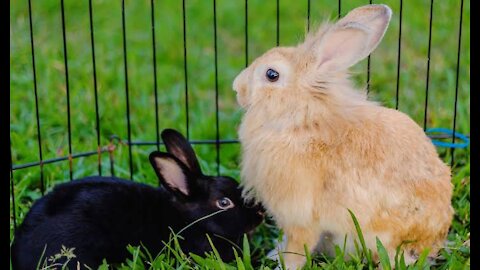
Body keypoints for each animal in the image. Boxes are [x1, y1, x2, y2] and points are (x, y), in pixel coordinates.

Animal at [234, 4, 452, 270]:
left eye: (271, 74)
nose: (237, 88)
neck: (301, 122)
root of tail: (432, 241)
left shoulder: (300, 218)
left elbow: (297, 249)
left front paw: (282, 265)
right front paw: (274, 254)